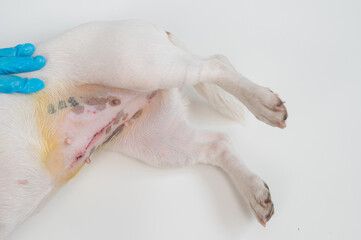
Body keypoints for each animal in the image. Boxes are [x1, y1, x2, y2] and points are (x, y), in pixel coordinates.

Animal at [0, 19, 286, 239]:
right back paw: (255, 191)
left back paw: (264, 103)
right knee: (219, 142)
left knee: (215, 63)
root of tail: (153, 25)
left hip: (141, 65)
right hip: (161, 142)